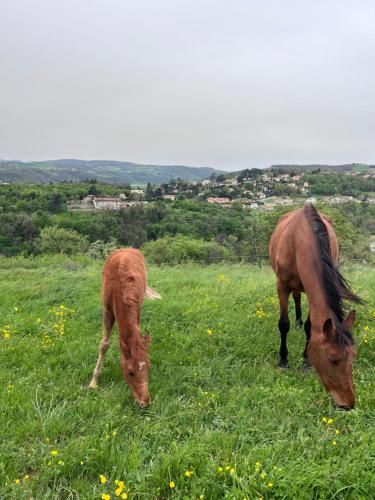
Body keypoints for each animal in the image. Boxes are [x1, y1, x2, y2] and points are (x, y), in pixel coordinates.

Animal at [91, 247, 162, 406]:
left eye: (148, 368)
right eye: (130, 372)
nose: (145, 402)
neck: (120, 286)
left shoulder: (137, 308)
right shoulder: (107, 310)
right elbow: (104, 344)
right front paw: (94, 381)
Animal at [270, 203, 364, 410]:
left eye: (353, 357)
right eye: (333, 360)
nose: (347, 404)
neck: (299, 239)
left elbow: (310, 327)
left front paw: (306, 361)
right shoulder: (282, 285)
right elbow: (283, 324)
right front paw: (283, 360)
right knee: (295, 298)